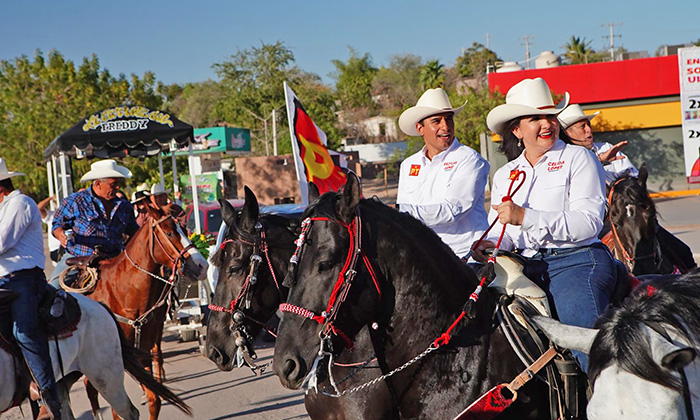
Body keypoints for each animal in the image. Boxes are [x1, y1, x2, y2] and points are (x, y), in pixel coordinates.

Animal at [78, 207, 208, 420]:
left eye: (185, 229)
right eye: (169, 233)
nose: (202, 265)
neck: (123, 293)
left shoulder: (143, 354)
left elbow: (155, 399)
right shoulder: (117, 364)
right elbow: (117, 410)